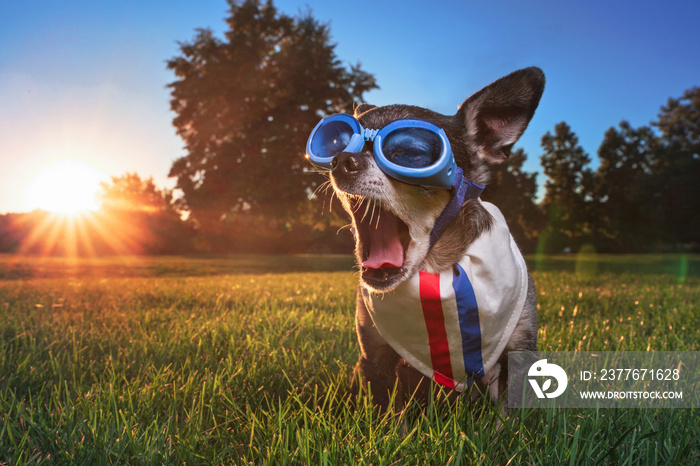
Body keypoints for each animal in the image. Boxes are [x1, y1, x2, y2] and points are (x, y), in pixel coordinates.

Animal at [304, 66, 540, 412]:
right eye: (338, 144)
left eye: (409, 153)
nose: (342, 160)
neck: (437, 269)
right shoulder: (374, 357)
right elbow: (386, 412)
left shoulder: (518, 352)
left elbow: (507, 417)